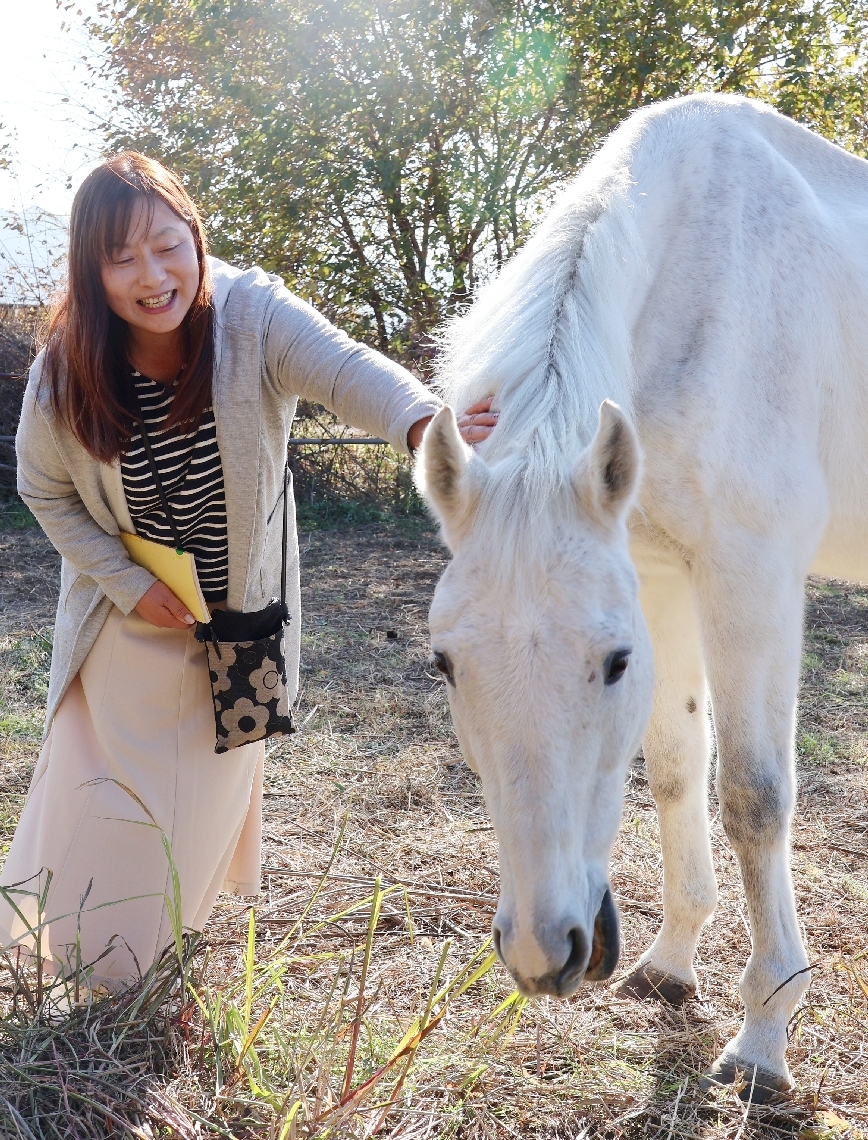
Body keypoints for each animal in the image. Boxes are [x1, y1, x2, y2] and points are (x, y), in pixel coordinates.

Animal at [415, 92, 868, 1101]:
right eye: (445, 664)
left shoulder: (751, 574)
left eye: (614, 662)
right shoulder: (661, 576)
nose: (545, 952)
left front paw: (764, 1034)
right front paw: (671, 963)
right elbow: (674, 769)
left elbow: (754, 794)